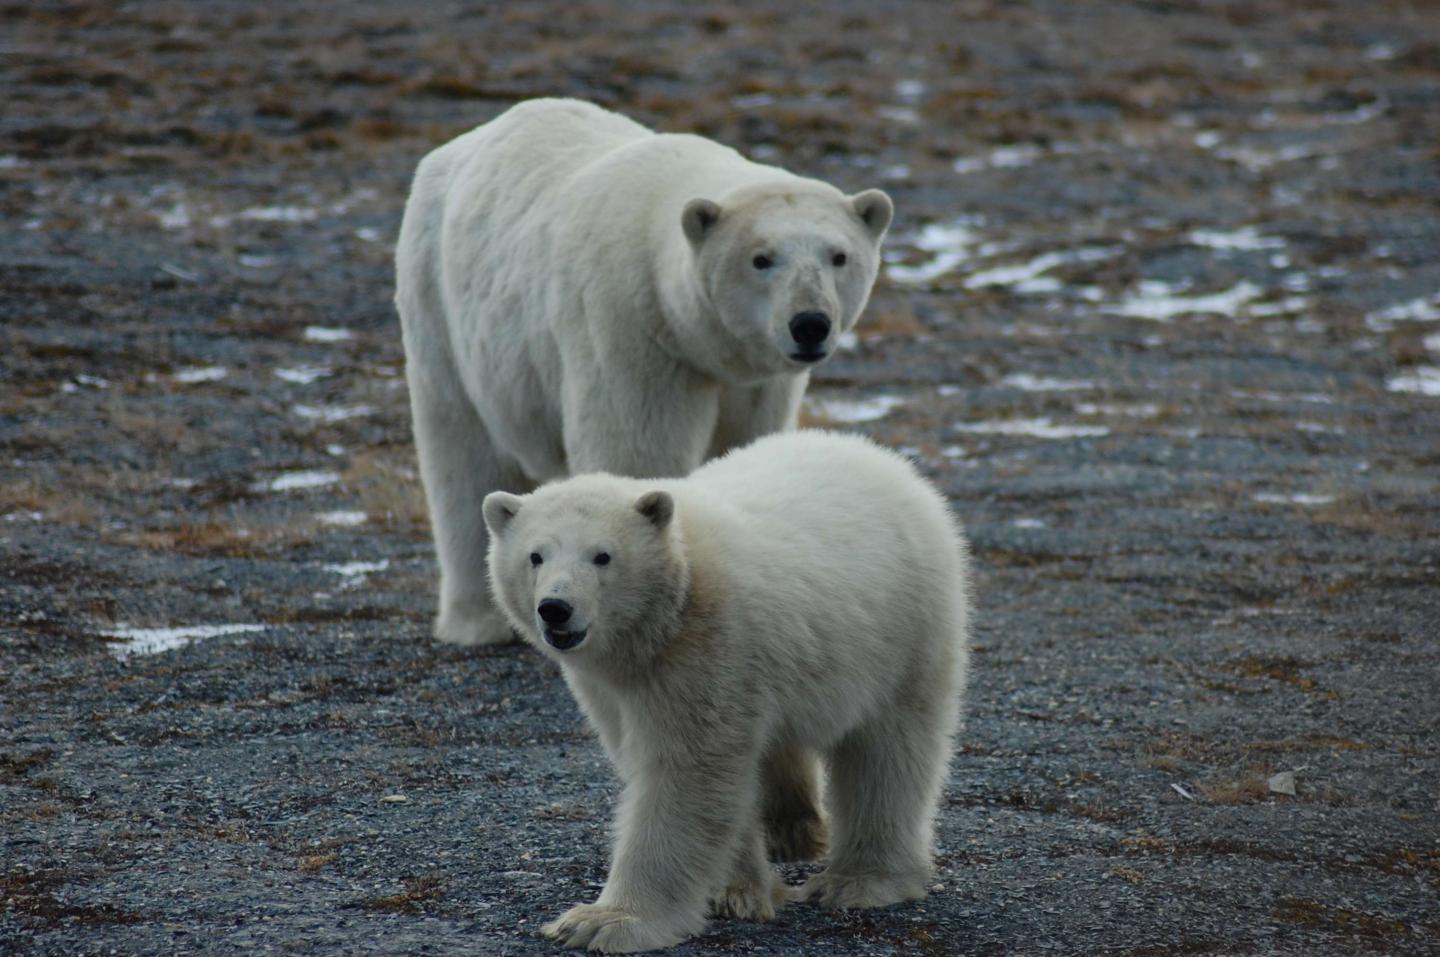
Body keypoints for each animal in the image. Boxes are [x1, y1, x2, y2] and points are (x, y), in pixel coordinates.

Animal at [395, 98, 894, 648]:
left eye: (839, 256)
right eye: (761, 258)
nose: (810, 324)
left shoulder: (758, 382)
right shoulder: (632, 331)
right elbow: (637, 450)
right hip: (440, 307)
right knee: (462, 455)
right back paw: (477, 622)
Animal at [482, 430, 971, 953]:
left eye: (602, 555)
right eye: (535, 555)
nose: (555, 608)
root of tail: (879, 457)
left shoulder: (710, 648)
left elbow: (686, 774)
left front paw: (603, 921)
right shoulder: (614, 685)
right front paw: (737, 891)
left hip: (905, 630)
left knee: (888, 751)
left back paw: (859, 880)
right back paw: (791, 831)